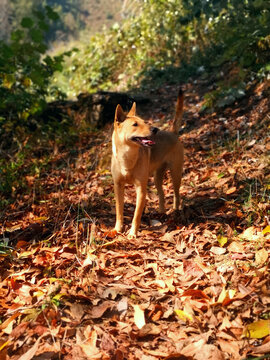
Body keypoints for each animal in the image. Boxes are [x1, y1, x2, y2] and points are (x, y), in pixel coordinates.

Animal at [110, 89, 185, 238]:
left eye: (145, 122)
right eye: (135, 125)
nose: (155, 129)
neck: (127, 157)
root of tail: (172, 133)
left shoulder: (141, 188)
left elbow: (136, 215)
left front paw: (132, 233)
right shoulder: (118, 186)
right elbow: (119, 211)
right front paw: (118, 229)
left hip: (175, 174)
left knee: (176, 194)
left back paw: (175, 210)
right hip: (157, 177)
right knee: (161, 194)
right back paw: (162, 212)